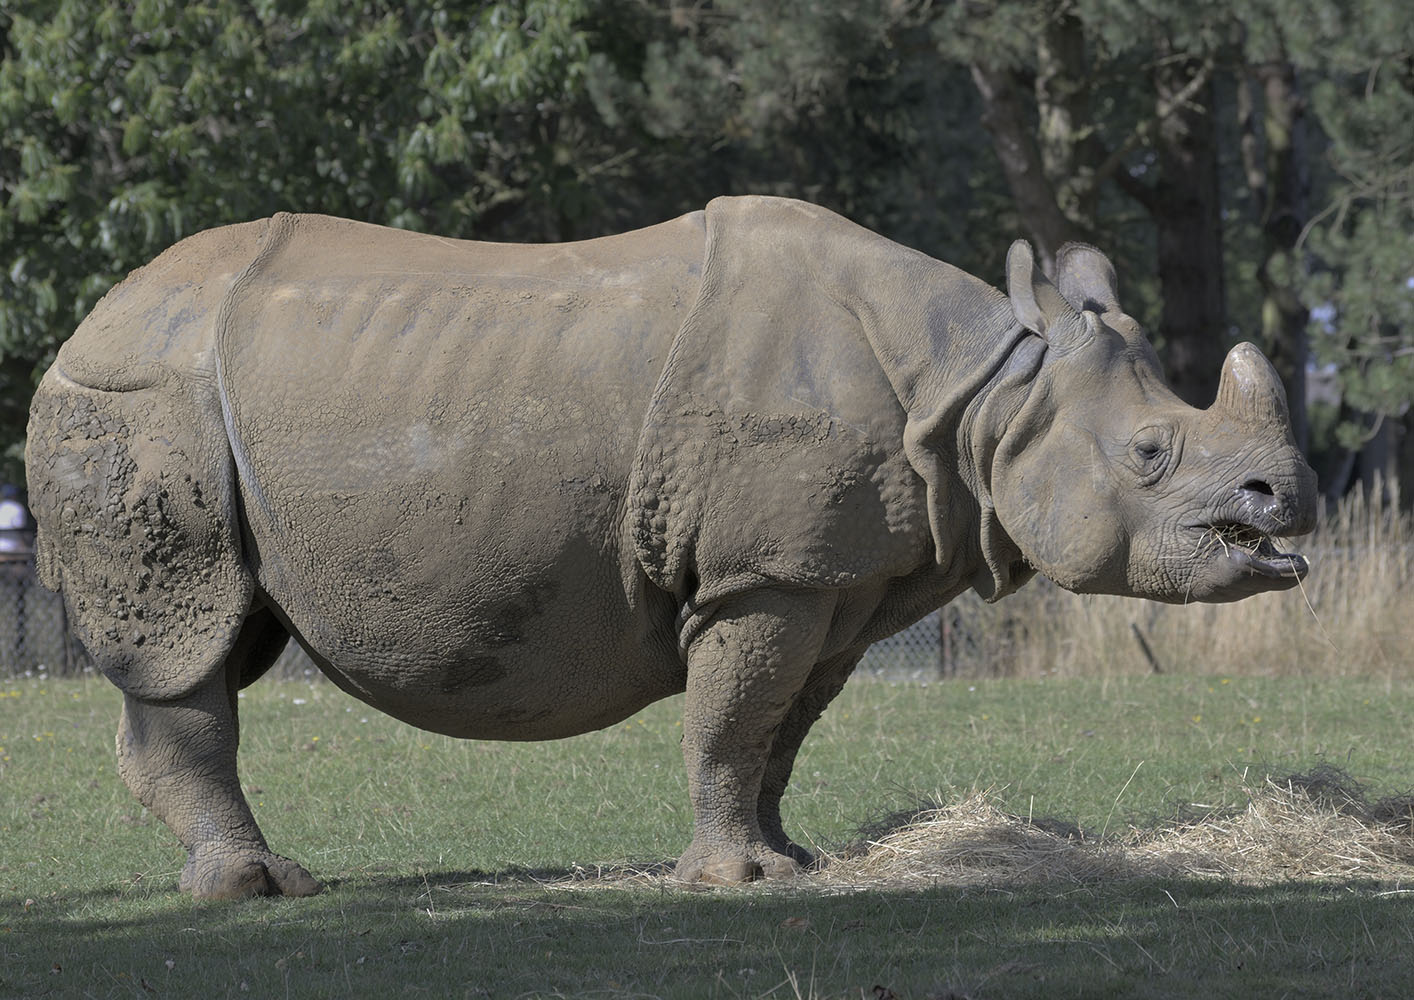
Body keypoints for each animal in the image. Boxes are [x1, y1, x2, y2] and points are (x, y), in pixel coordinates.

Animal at [26, 196, 1316, 899]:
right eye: (1149, 451)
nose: (1285, 504)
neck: (985, 394)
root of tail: (87, 318)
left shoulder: (831, 579)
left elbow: (779, 726)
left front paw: (790, 861)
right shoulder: (764, 574)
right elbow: (731, 716)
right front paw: (733, 881)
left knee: (226, 638)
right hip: (142, 393)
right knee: (188, 642)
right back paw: (261, 888)